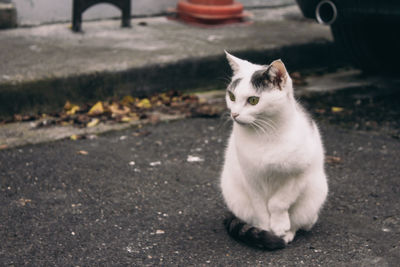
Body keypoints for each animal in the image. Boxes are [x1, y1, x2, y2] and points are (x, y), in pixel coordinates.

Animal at [219, 52, 328, 251]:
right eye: (231, 96)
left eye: (253, 100)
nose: (234, 114)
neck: (265, 135)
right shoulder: (251, 178)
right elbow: (260, 207)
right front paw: (265, 229)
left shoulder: (297, 175)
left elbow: (279, 202)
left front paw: (279, 226)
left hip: (315, 194)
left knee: (302, 222)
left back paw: (287, 234)